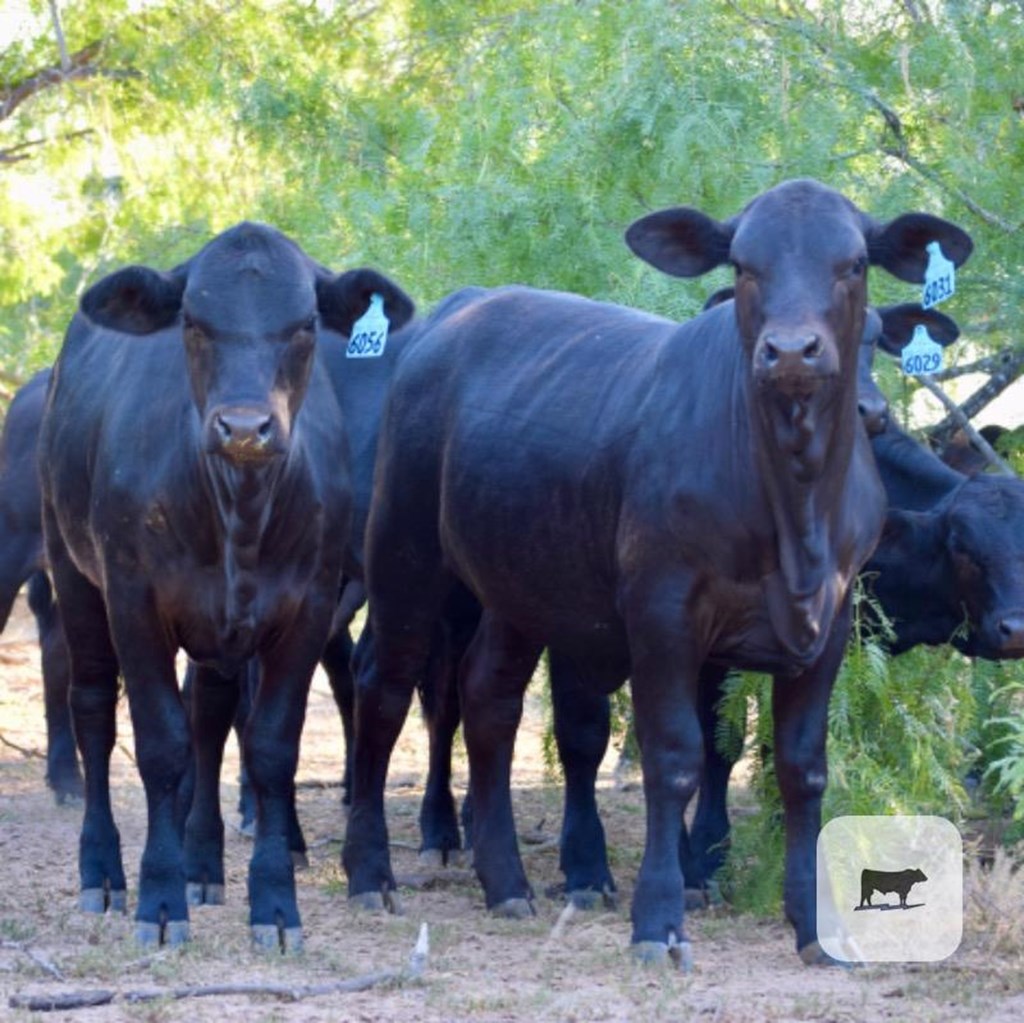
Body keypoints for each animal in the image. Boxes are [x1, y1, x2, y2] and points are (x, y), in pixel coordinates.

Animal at [38, 226, 415, 950]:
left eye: (304, 325)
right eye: (193, 322)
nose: (244, 427)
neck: (239, 509)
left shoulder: (308, 607)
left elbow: (269, 747)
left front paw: (274, 903)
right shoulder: (134, 600)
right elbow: (160, 744)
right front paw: (159, 899)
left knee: (210, 715)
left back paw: (203, 862)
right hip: (70, 570)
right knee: (94, 709)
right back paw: (103, 870)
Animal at [342, 178, 966, 966]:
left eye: (853, 263)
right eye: (743, 265)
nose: (791, 350)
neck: (794, 508)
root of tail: (458, 312)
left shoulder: (829, 623)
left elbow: (802, 769)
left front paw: (812, 925)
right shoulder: (663, 612)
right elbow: (675, 757)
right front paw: (660, 918)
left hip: (520, 582)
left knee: (489, 696)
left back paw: (506, 879)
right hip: (406, 552)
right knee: (385, 687)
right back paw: (370, 872)